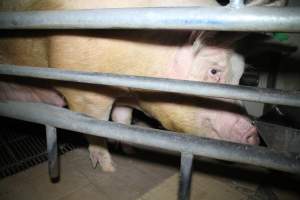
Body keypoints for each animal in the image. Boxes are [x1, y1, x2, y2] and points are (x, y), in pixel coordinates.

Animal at [0, 0, 286, 172]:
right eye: (214, 71)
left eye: (240, 77)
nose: (253, 135)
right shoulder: (84, 93)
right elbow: (95, 127)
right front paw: (109, 168)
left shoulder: (126, 97)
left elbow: (123, 119)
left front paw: (130, 148)